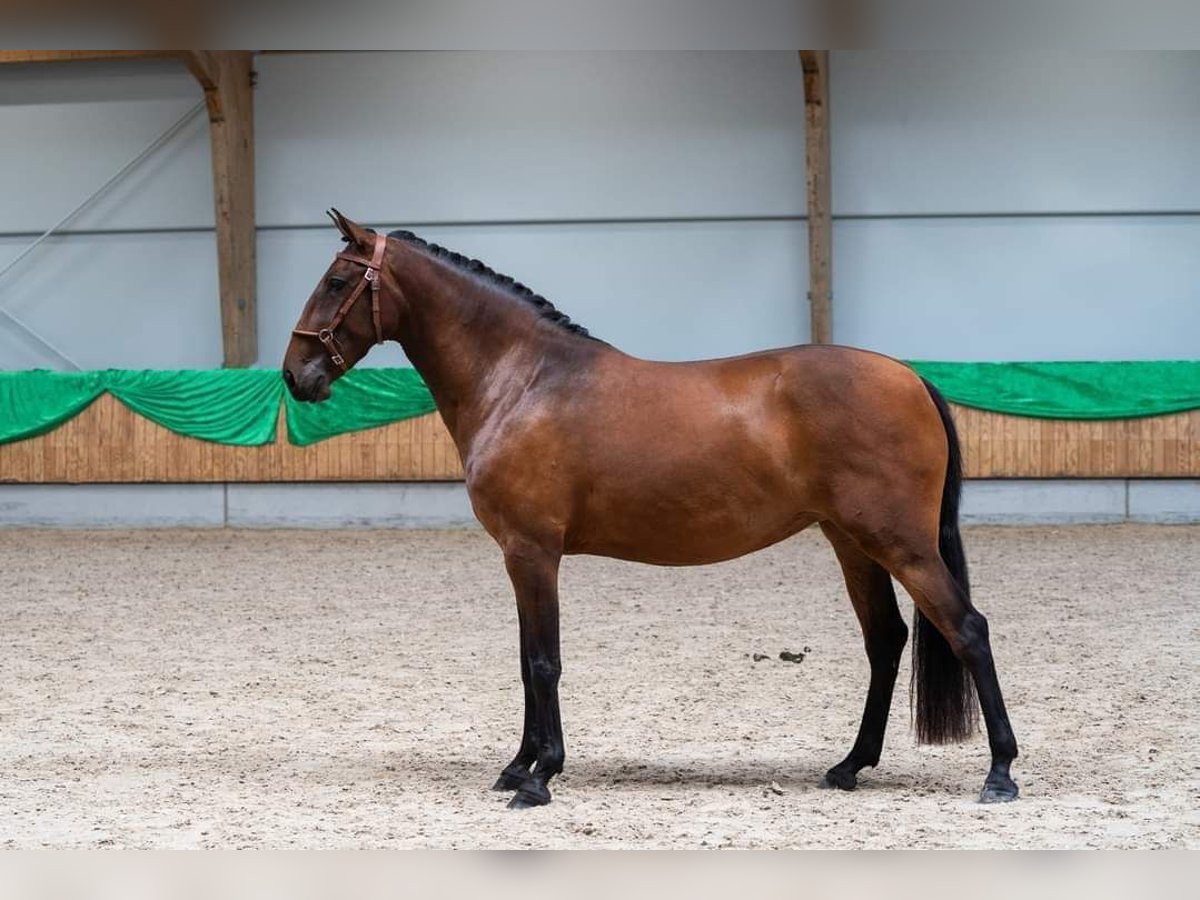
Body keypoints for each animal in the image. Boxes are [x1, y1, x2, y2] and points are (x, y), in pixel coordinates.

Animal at [283, 211, 1022, 811]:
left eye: (336, 280)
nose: (295, 375)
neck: (524, 381)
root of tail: (911, 377)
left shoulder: (532, 552)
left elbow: (543, 662)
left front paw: (539, 777)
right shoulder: (520, 557)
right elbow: (525, 661)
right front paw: (518, 765)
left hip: (900, 544)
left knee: (968, 629)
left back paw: (1000, 774)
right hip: (852, 542)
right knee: (886, 641)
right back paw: (849, 767)